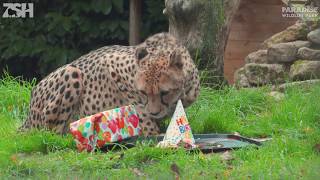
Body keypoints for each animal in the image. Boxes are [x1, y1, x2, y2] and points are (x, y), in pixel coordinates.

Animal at [20, 33, 199, 136]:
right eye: (143, 92)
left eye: (164, 92)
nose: (154, 112)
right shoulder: (112, 62)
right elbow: (139, 107)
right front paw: (150, 127)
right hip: (72, 72)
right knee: (50, 134)